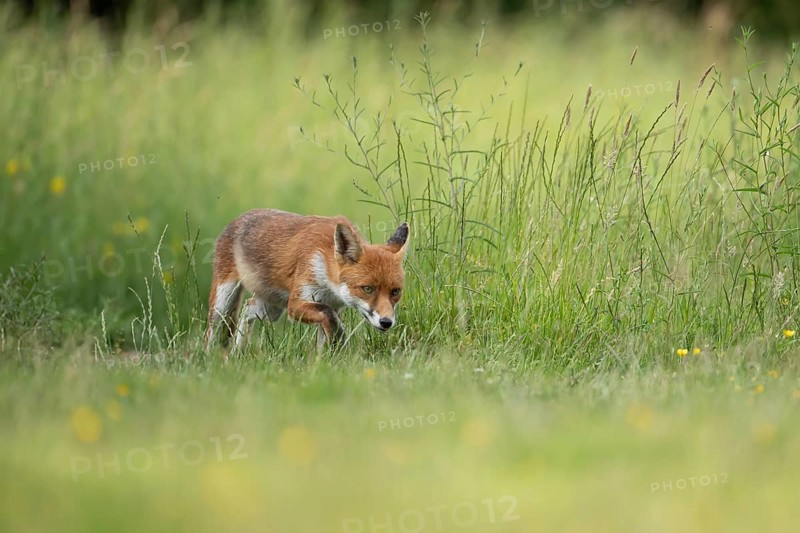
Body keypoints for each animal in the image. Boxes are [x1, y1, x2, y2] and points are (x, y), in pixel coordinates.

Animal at [205, 208, 409, 353]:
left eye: (395, 291)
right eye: (367, 289)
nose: (386, 322)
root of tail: (238, 218)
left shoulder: (331, 305)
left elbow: (327, 329)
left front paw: (320, 366)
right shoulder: (296, 305)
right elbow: (329, 317)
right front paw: (339, 340)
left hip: (271, 310)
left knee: (247, 309)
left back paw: (238, 354)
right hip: (224, 300)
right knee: (211, 331)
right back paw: (210, 360)